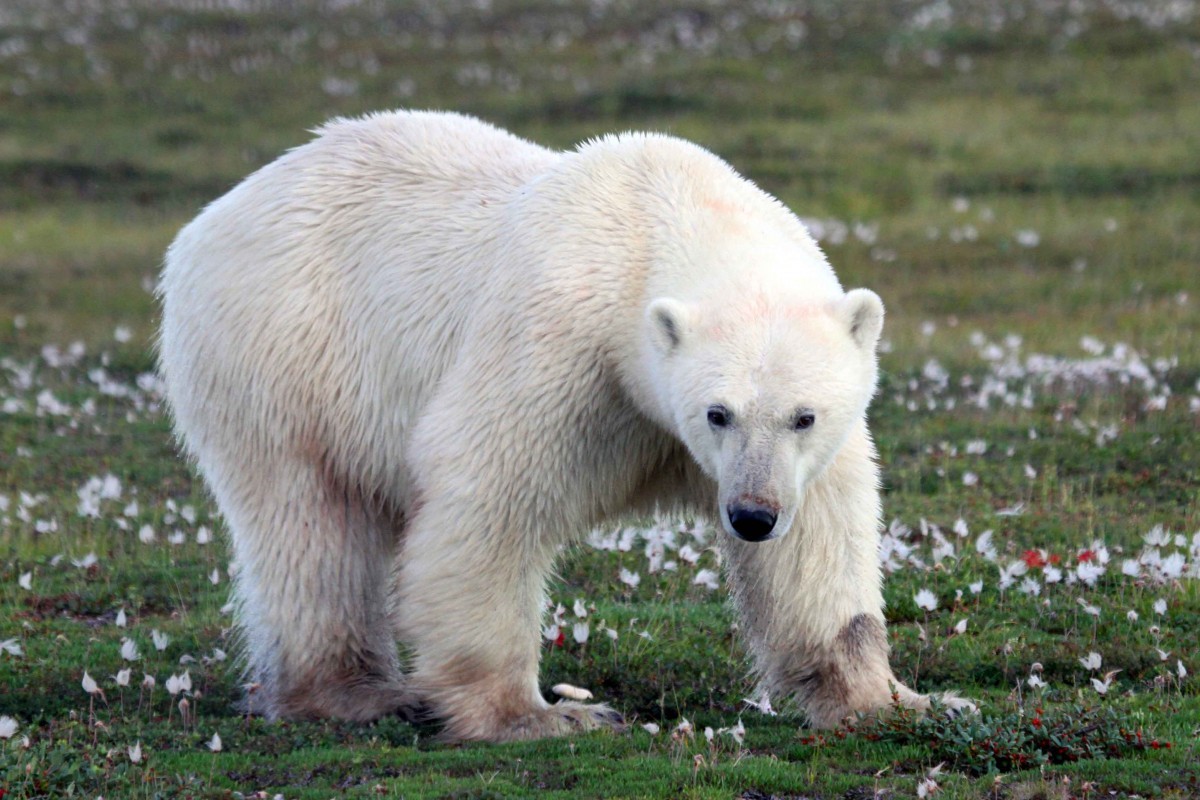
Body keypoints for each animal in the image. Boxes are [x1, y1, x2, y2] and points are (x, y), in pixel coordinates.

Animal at [158, 110, 968, 742]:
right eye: (718, 412)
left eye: (804, 415)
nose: (751, 515)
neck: (657, 218)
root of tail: (207, 222)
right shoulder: (559, 344)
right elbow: (488, 492)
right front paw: (542, 715)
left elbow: (820, 541)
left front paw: (903, 703)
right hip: (287, 355)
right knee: (315, 523)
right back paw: (360, 694)